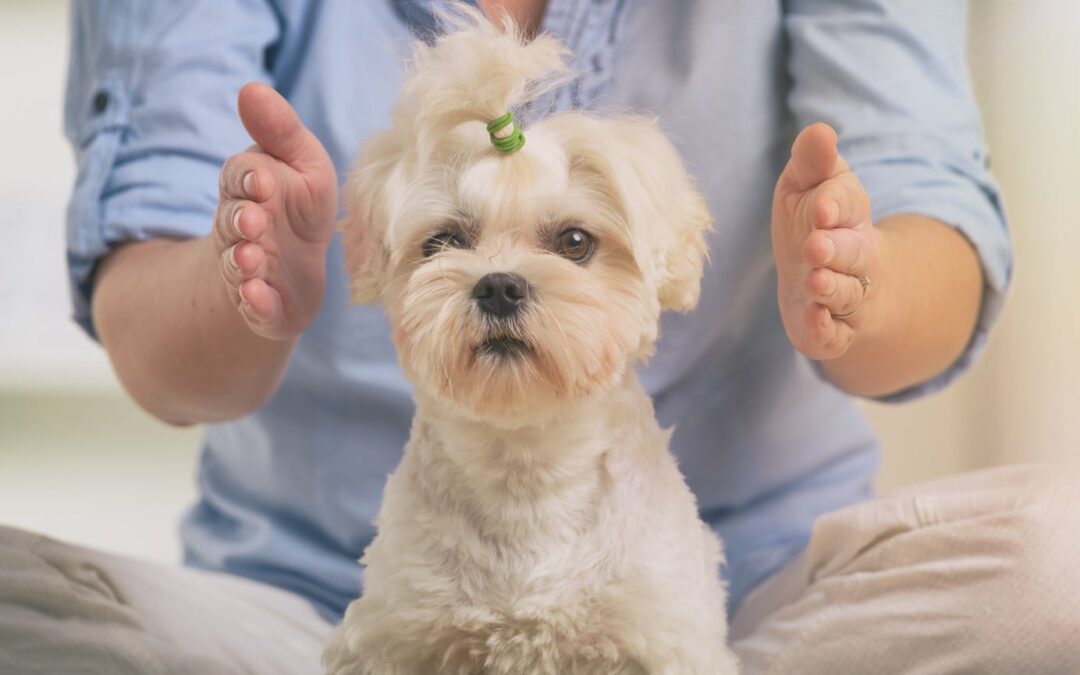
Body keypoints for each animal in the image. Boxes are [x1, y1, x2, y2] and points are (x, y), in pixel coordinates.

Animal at [324, 6, 738, 673]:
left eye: (575, 242)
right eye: (443, 242)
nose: (498, 286)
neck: (526, 477)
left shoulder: (663, 634)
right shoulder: (396, 635)